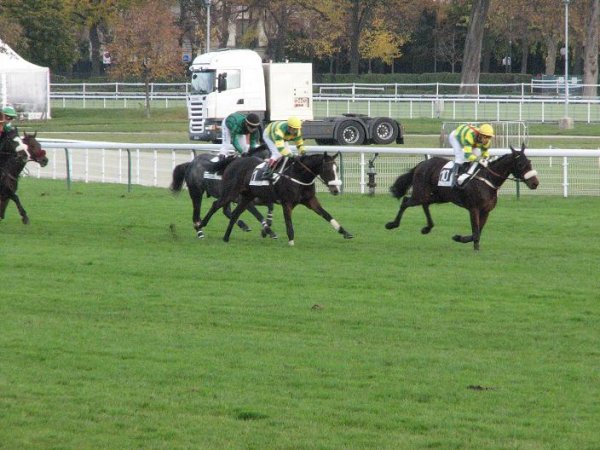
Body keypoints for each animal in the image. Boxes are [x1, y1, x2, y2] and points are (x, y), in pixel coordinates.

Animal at [199, 152, 354, 244]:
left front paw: (345, 232)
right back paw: (200, 225)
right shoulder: (287, 203)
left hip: (247, 196)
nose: (335, 189)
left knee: (235, 213)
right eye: (327, 170)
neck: (298, 176)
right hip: (230, 192)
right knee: (216, 204)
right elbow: (289, 224)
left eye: (337, 169)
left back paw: (226, 237)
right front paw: (291, 242)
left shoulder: (310, 200)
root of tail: (234, 161)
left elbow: (327, 215)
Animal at [384, 144, 540, 250]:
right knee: (405, 201)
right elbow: (476, 232)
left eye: (530, 162)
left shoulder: (486, 211)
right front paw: (468, 244)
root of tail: (421, 164)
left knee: (425, 205)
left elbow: (478, 232)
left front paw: (465, 241)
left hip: (438, 196)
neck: (488, 179)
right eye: (520, 164)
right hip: (421, 194)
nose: (535, 183)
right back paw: (392, 224)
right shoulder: (474, 208)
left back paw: (427, 228)